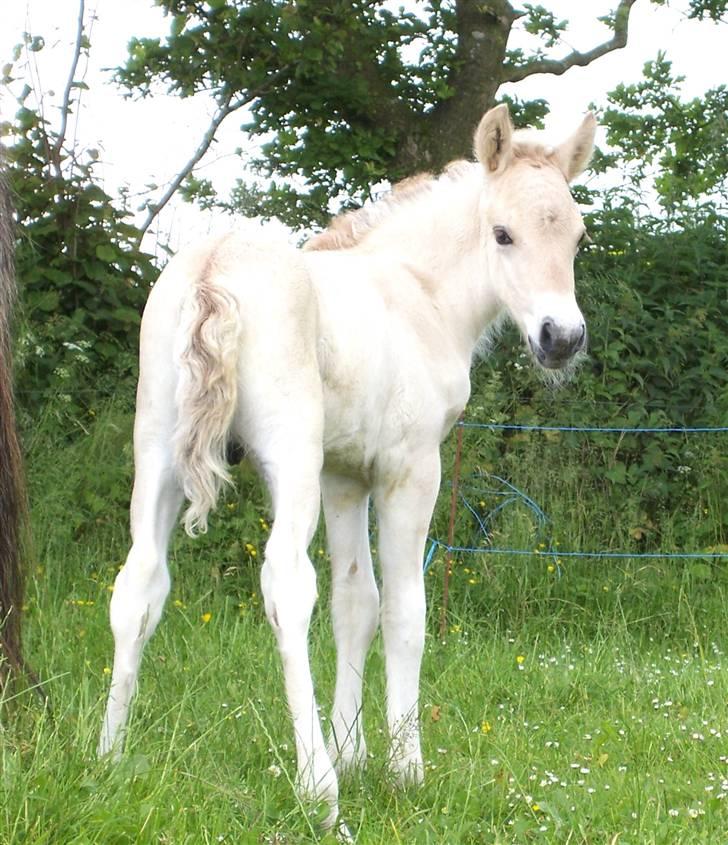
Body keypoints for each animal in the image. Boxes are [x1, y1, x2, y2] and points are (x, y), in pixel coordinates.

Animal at [98, 105, 596, 832]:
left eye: (578, 238)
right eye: (503, 233)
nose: (562, 339)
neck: (419, 295)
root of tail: (214, 269)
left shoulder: (344, 475)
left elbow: (355, 604)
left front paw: (353, 750)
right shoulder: (409, 470)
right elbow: (404, 610)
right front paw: (403, 767)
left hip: (157, 450)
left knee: (138, 583)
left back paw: (108, 753)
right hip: (290, 458)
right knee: (285, 585)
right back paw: (318, 791)